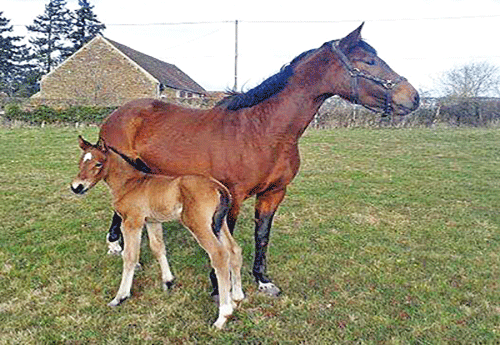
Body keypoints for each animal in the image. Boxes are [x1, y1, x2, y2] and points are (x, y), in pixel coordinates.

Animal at [96, 24, 418, 296]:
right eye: (369, 61)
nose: (412, 97)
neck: (262, 131)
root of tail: (118, 113)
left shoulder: (274, 193)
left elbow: (262, 235)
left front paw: (263, 280)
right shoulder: (233, 196)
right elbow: (225, 239)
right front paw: (219, 286)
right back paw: (115, 247)